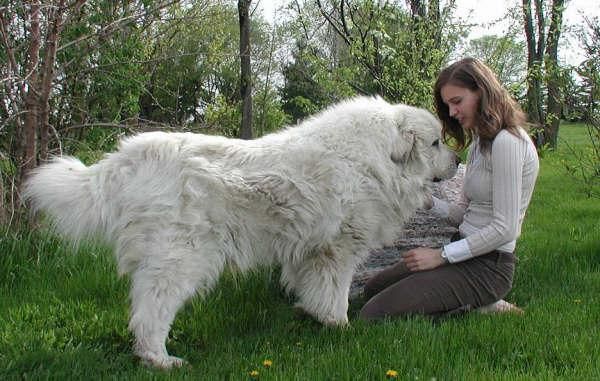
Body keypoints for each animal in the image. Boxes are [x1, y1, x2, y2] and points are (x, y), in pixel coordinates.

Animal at [22, 95, 454, 368]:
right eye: (436, 142)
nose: (455, 159)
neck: (374, 160)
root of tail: (128, 159)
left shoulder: (309, 249)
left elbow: (309, 287)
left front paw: (309, 314)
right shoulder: (339, 248)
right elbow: (335, 292)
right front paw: (340, 327)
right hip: (180, 259)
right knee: (150, 312)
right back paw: (159, 359)